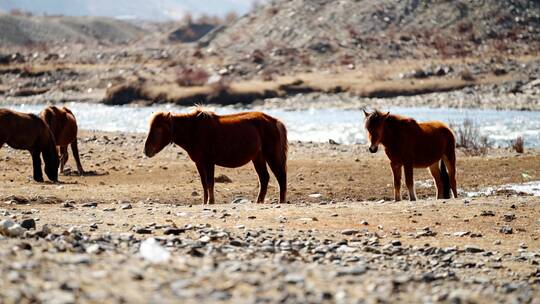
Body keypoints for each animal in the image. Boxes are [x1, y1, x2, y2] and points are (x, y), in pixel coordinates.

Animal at [143, 109, 286, 204]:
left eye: (159, 129)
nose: (146, 151)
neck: (194, 130)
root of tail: (274, 121)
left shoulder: (209, 162)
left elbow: (210, 182)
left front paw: (210, 202)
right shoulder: (199, 163)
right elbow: (204, 183)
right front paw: (205, 202)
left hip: (271, 156)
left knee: (280, 177)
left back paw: (281, 201)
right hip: (258, 158)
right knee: (264, 178)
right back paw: (259, 201)